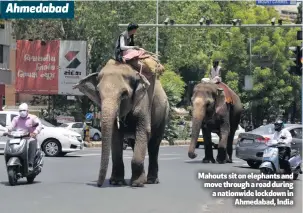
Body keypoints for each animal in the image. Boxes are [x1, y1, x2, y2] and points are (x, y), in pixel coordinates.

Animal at [73, 59, 169, 187]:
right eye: (98, 93)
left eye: (124, 94)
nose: (98, 185)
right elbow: (116, 136)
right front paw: (117, 182)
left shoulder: (144, 102)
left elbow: (143, 131)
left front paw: (137, 184)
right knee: (134, 143)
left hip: (163, 114)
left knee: (154, 144)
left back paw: (151, 181)